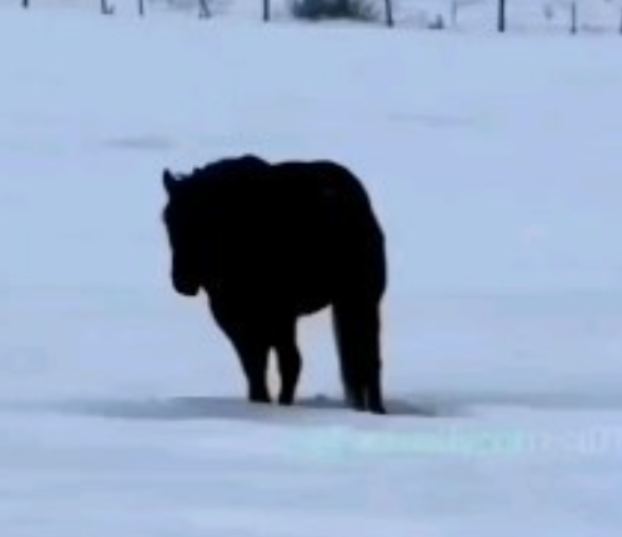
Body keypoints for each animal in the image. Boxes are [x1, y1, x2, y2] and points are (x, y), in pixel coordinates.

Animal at [163, 153, 392, 412]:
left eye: (202, 223)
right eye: (168, 221)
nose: (183, 282)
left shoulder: (262, 315)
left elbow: (264, 362)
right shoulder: (238, 316)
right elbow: (254, 363)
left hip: (337, 305)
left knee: (303, 361)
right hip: (354, 302)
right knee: (365, 359)